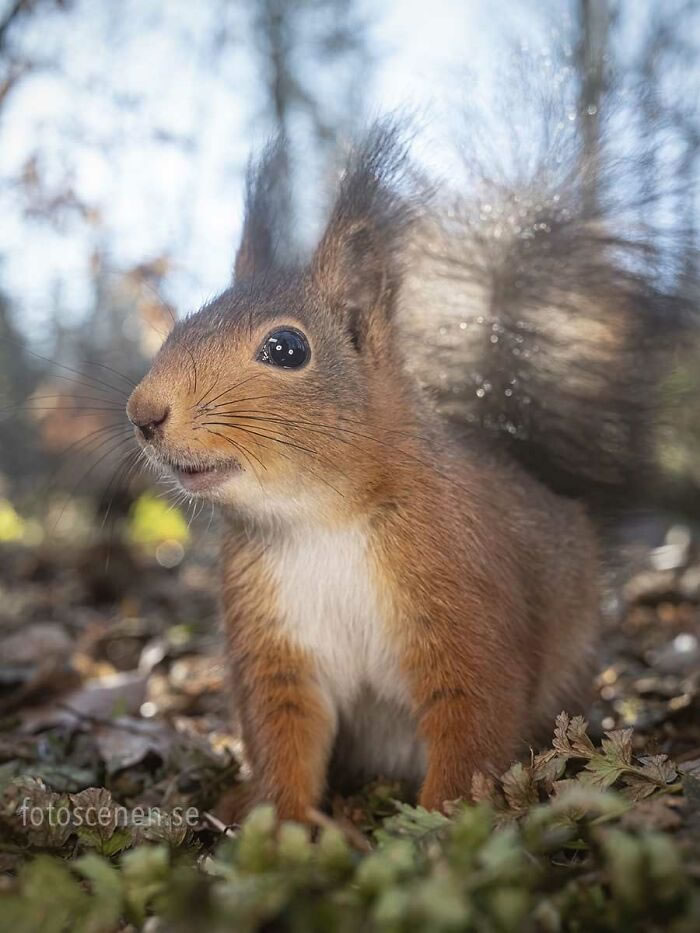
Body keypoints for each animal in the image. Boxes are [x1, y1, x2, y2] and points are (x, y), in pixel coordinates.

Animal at [126, 120, 688, 820]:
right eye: (182, 322)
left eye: (286, 348)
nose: (143, 412)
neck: (321, 520)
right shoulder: (272, 636)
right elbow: (282, 731)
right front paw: (283, 821)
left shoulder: (465, 596)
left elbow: (474, 718)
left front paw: (444, 819)